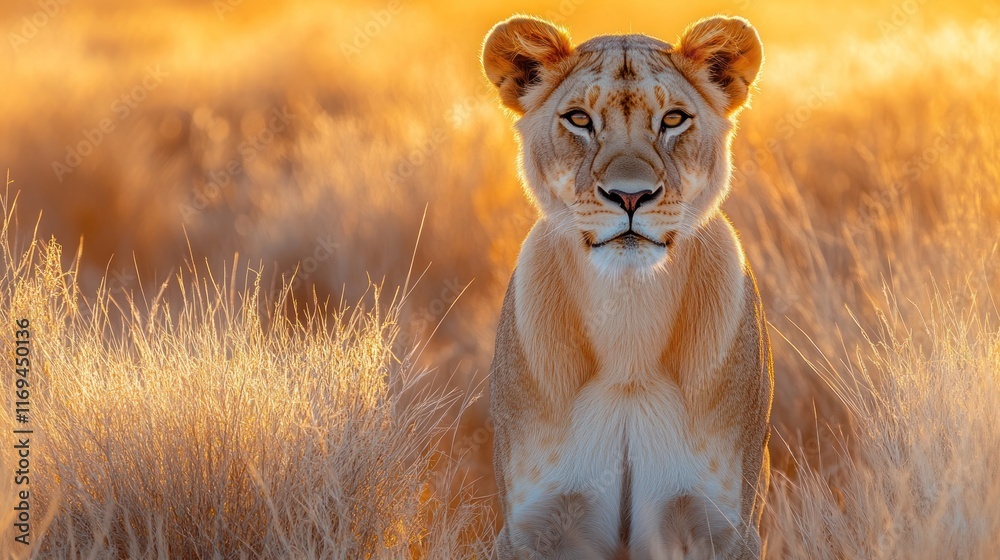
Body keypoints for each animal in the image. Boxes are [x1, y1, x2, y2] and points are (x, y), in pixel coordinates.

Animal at [482, 14, 773, 560]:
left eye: (674, 119)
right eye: (579, 119)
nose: (631, 196)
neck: (628, 314)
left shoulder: (725, 525)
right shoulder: (528, 526)